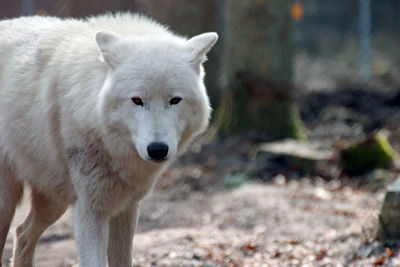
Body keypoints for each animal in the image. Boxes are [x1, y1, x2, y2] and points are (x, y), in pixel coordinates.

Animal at [0, 13, 216, 266]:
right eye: (137, 100)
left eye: (175, 100)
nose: (157, 149)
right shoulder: (91, 209)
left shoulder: (127, 208)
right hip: (9, 203)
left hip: (53, 201)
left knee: (22, 233)